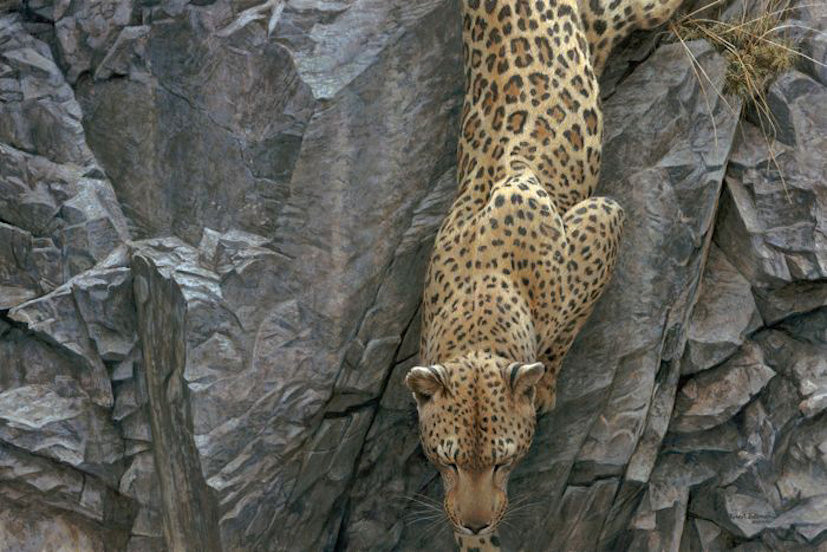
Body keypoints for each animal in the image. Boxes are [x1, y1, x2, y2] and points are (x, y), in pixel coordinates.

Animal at [404, 0, 684, 548]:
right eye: (448, 461)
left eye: (503, 460)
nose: (475, 520)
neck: (480, 317)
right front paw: (476, 539)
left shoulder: (603, 218)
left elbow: (567, 328)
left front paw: (545, 385)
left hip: (621, 13)